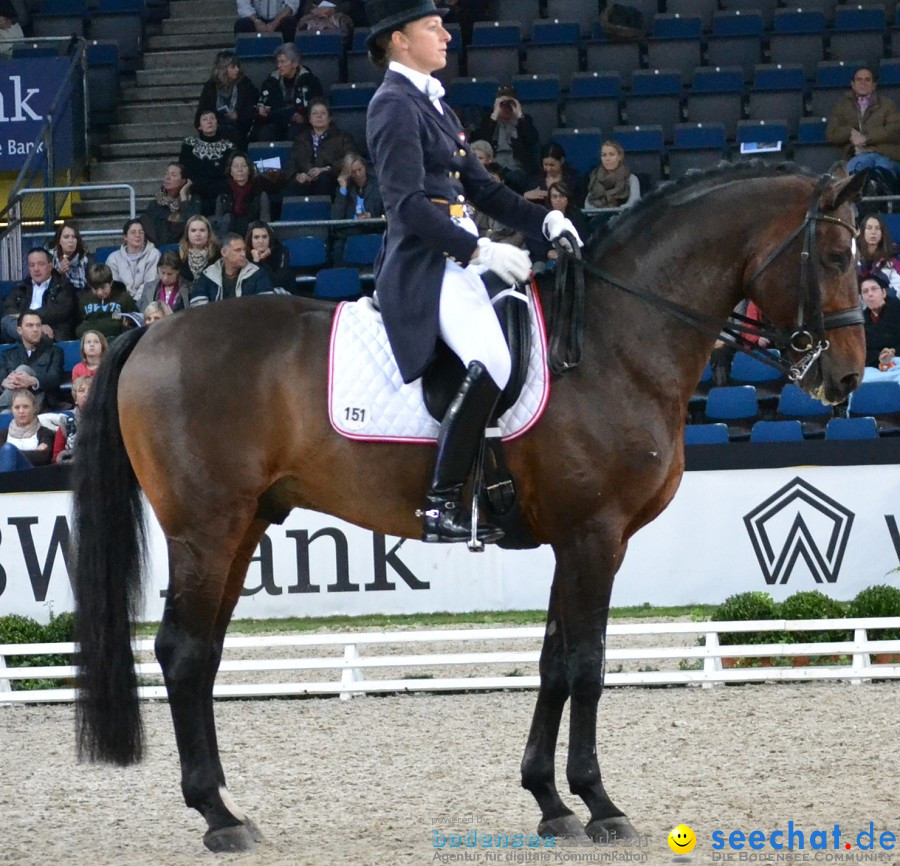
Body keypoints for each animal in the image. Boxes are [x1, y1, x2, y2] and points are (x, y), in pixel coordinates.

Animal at [74, 165, 868, 852]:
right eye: (833, 254)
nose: (846, 377)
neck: (617, 342)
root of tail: (153, 329)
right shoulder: (596, 536)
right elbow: (587, 664)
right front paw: (601, 805)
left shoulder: (572, 541)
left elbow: (553, 662)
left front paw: (550, 803)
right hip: (205, 531)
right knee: (181, 652)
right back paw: (216, 818)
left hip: (242, 529)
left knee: (204, 656)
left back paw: (228, 809)